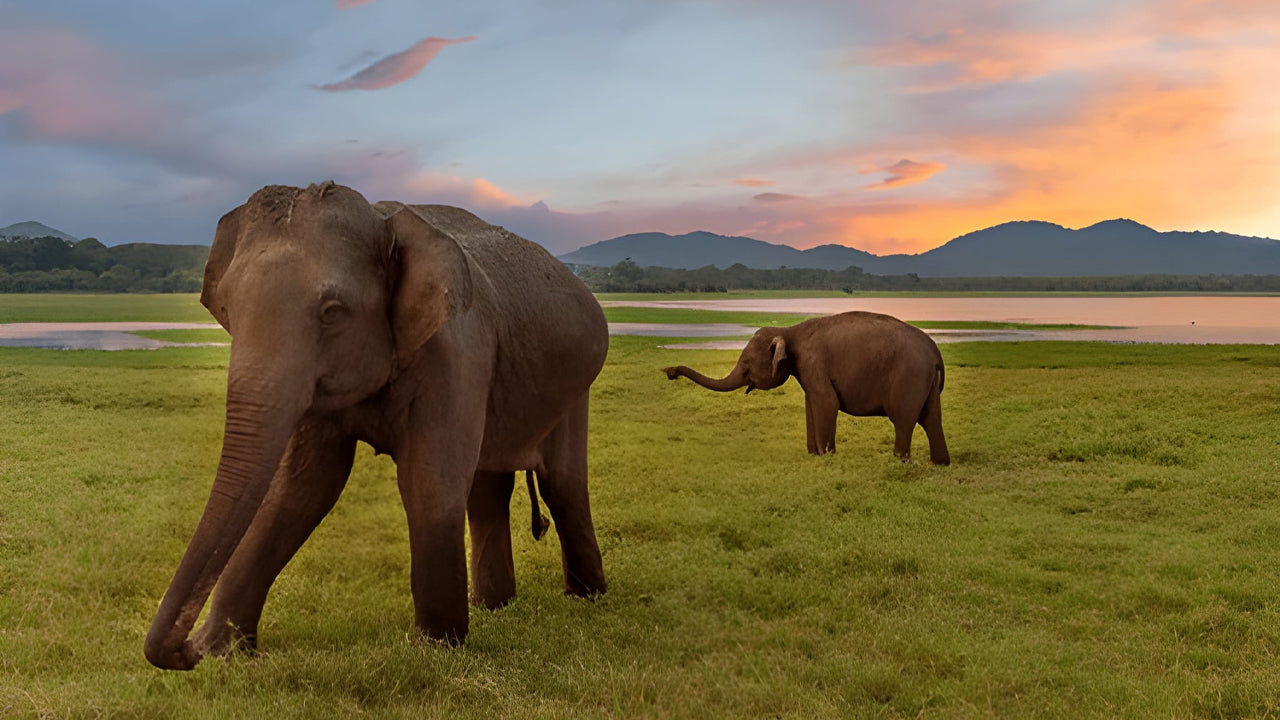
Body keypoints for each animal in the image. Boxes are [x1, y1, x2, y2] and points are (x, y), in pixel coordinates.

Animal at [144, 182, 609, 670]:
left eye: (332, 312)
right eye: (228, 308)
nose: (187, 649)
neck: (380, 217)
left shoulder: (456, 352)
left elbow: (429, 485)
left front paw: (438, 647)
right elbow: (302, 490)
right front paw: (226, 651)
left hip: (575, 385)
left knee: (561, 484)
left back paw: (585, 597)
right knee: (487, 491)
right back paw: (494, 606)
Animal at [663, 311, 949, 464]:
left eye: (746, 365)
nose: (670, 372)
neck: (789, 330)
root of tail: (936, 354)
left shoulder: (813, 362)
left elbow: (827, 403)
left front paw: (826, 456)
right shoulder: (806, 371)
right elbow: (811, 404)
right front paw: (814, 455)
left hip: (909, 378)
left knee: (904, 420)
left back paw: (899, 460)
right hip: (927, 383)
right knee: (932, 419)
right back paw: (940, 463)